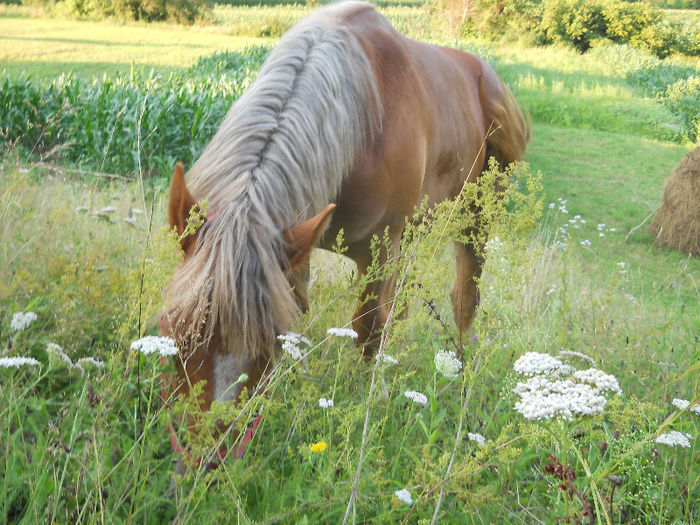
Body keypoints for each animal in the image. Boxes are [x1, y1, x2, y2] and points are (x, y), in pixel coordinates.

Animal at [160, 0, 532, 442]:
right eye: (173, 330)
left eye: (265, 344)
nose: (206, 445)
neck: (359, 126)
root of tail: (489, 76)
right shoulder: (296, 242)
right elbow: (305, 310)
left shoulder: (381, 247)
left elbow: (368, 328)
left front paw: (374, 400)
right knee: (403, 305)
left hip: (475, 219)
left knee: (463, 299)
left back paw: (457, 374)